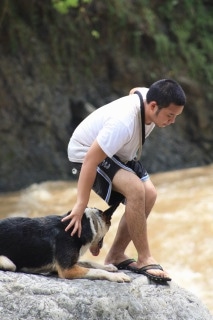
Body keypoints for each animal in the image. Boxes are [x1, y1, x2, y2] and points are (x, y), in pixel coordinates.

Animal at [0, 205, 130, 282]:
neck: (87, 224)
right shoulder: (67, 270)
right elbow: (96, 271)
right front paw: (117, 276)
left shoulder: (71, 263)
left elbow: (89, 262)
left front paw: (108, 267)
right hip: (8, 263)